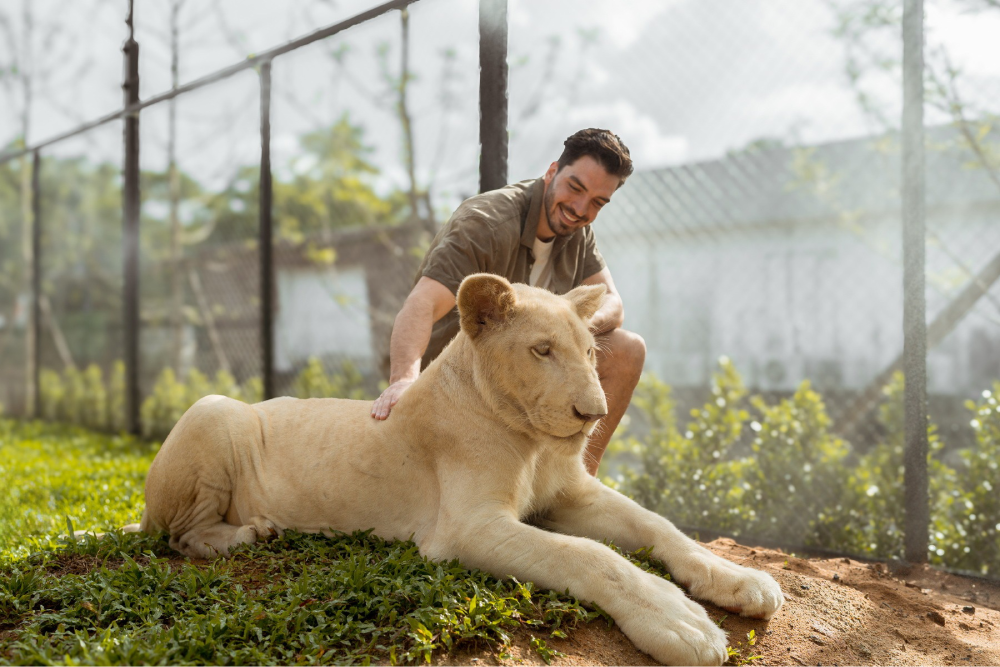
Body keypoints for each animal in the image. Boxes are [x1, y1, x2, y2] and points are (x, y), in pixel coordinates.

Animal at [130, 273, 783, 666]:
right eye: (542, 350)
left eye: (590, 352)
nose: (592, 414)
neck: (531, 440)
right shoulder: (466, 527)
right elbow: (591, 557)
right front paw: (682, 622)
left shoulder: (571, 495)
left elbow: (658, 526)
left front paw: (738, 580)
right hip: (212, 410)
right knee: (181, 536)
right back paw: (251, 532)